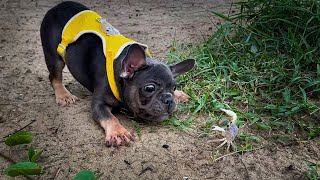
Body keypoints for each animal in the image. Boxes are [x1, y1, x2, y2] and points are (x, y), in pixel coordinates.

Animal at [40, 1, 195, 147]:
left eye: (174, 87)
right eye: (149, 88)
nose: (169, 99)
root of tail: (58, 6)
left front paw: (179, 95)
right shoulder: (99, 104)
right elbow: (110, 117)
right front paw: (118, 132)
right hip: (54, 56)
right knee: (55, 76)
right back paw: (64, 95)